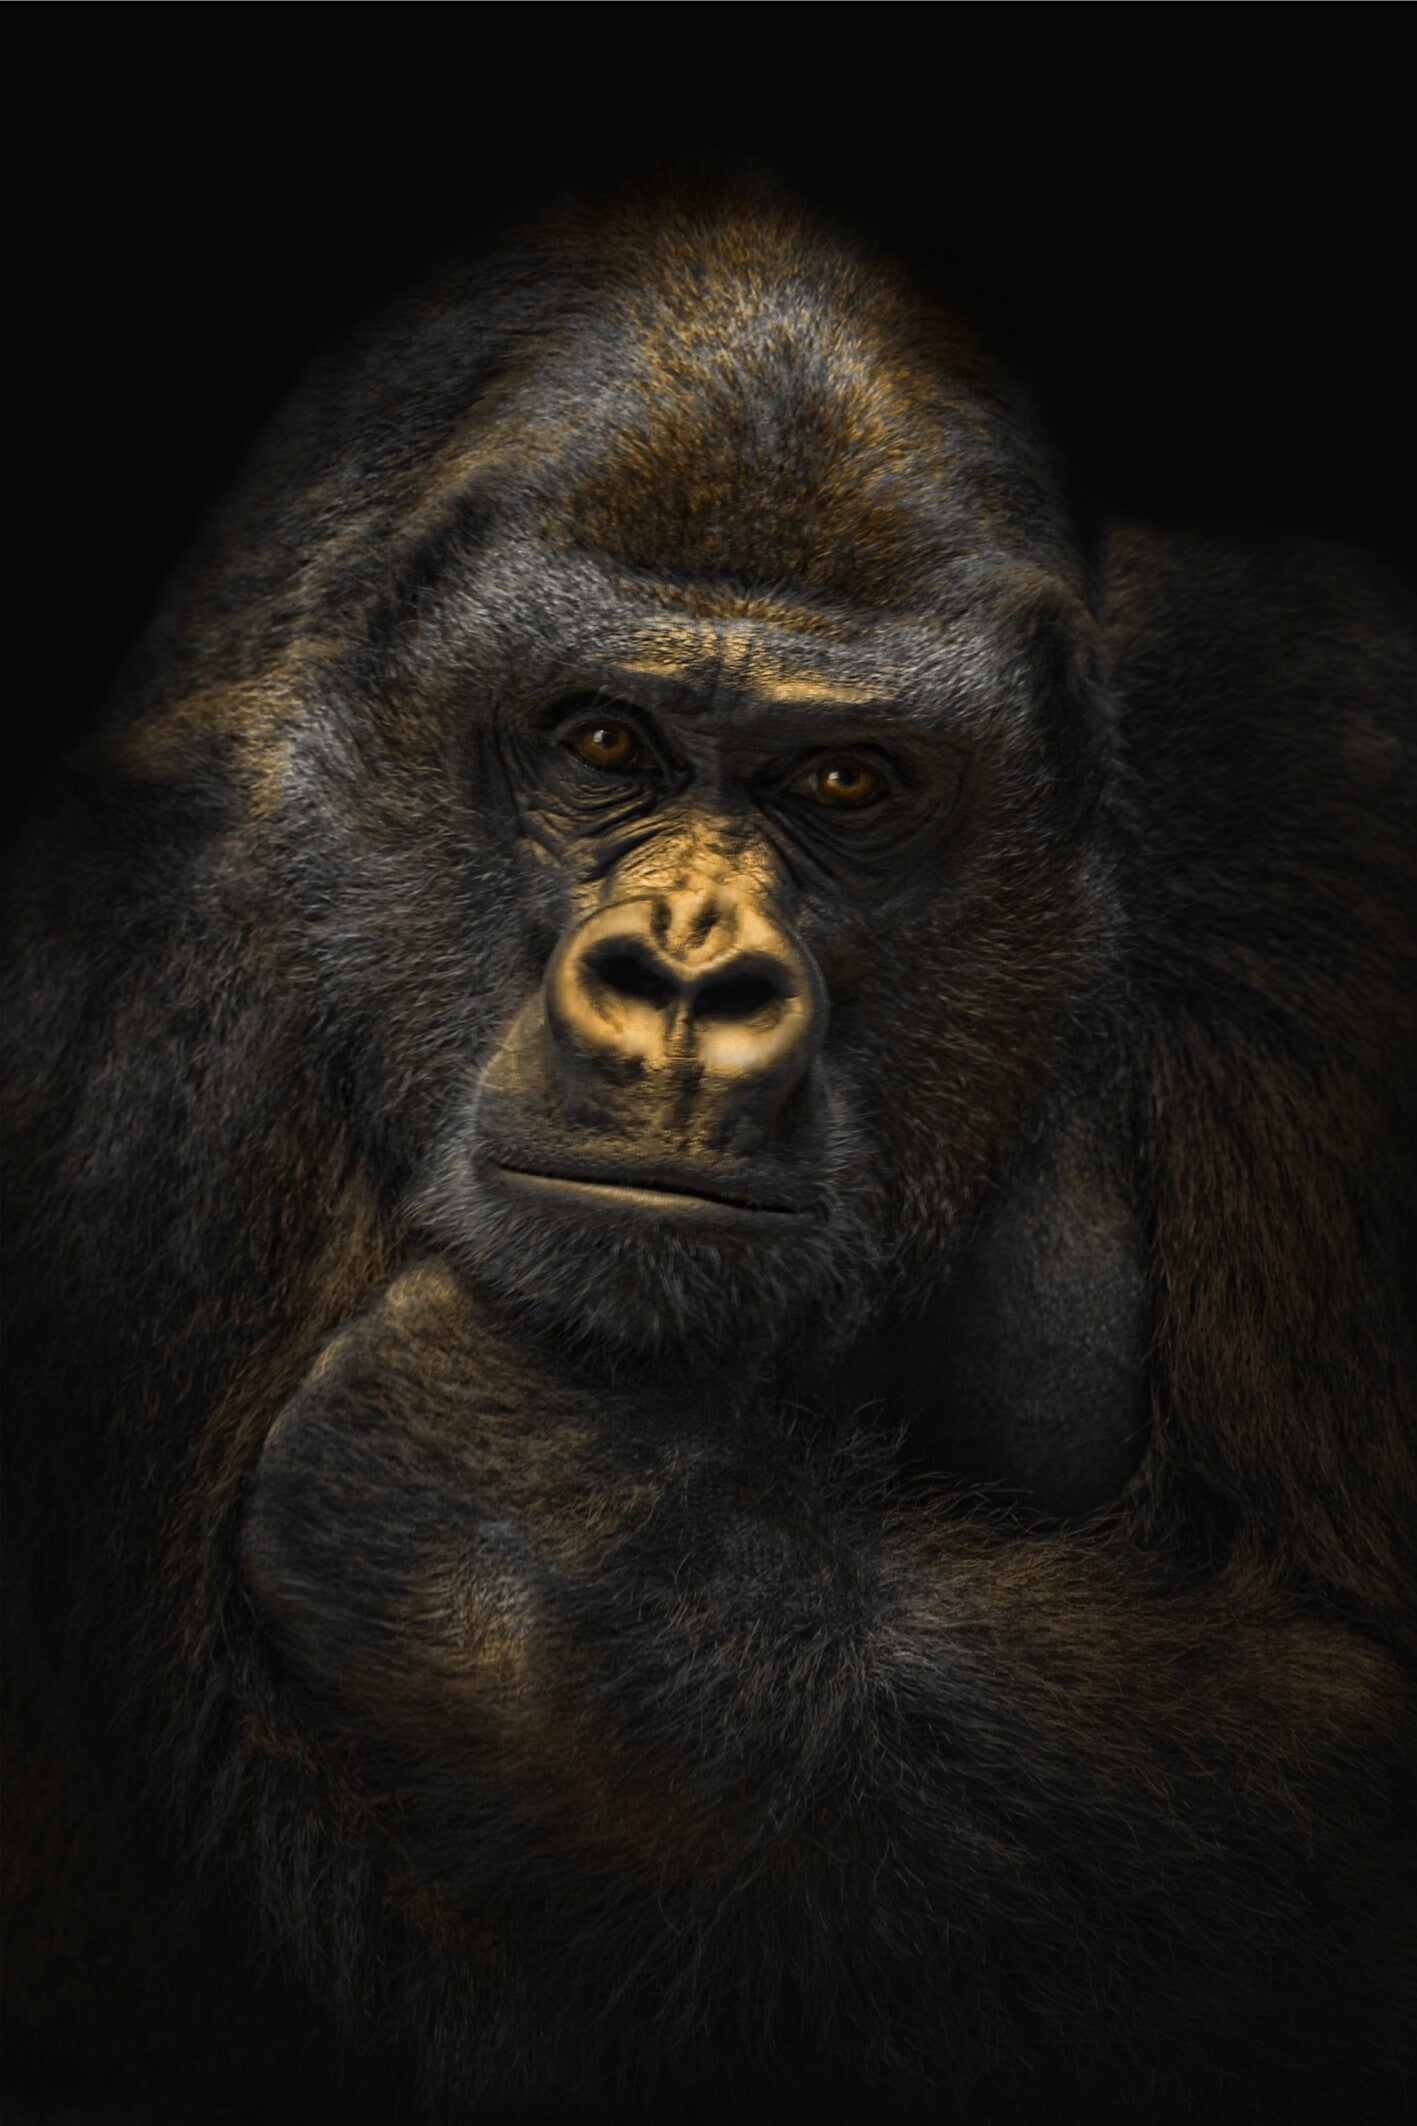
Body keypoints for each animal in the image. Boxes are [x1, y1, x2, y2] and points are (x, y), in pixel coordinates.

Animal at [2, 171, 1414, 2124]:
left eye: (846, 784)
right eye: (603, 740)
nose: (686, 976)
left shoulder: (1317, 799)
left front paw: (566, 1584)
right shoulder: (146, 1031)